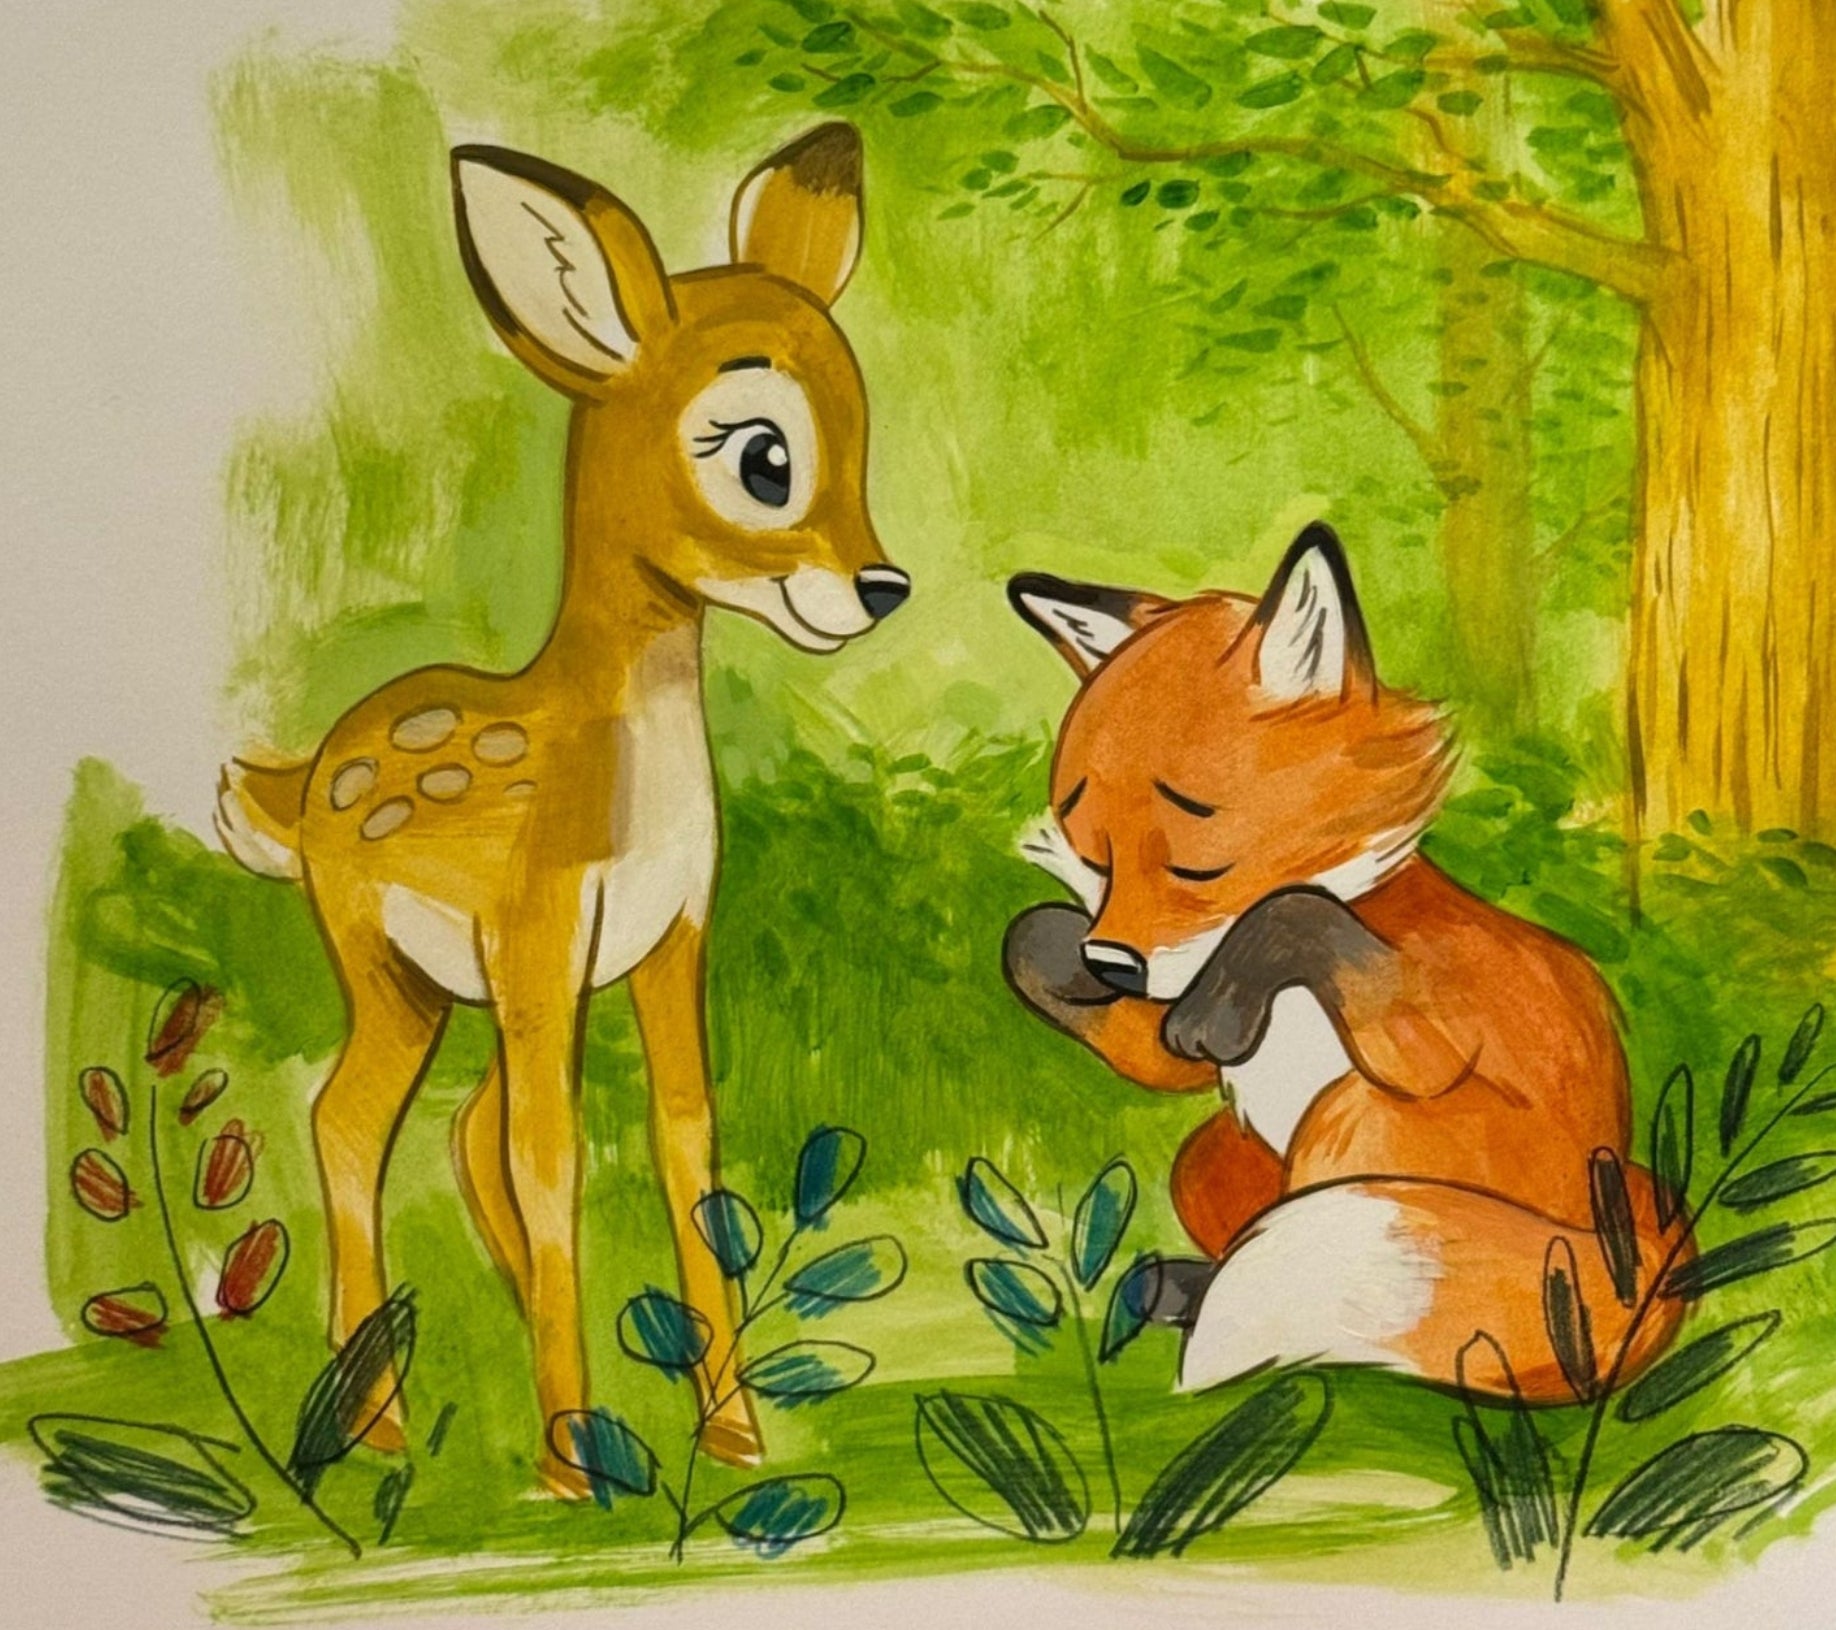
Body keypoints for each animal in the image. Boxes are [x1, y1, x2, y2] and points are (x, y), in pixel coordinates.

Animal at [214, 124, 908, 1496]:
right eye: (764, 455)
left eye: (863, 420)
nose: (880, 585)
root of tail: (297, 784)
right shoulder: (540, 924)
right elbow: (556, 1157)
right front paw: (573, 1471)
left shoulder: (670, 934)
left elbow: (685, 1140)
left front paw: (731, 1434)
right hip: (385, 961)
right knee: (356, 1121)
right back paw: (386, 1426)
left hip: (462, 990)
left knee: (434, 1125)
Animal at [1001, 523, 1691, 1403]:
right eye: (1098, 858)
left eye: (1197, 869)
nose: (1115, 965)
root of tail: (1615, 1236)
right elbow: (1077, 985)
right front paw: (1060, 956)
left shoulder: (1436, 1028)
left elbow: (1300, 915)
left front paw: (1216, 1002)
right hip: (1213, 1155)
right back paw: (1179, 1288)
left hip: (1352, 1120)